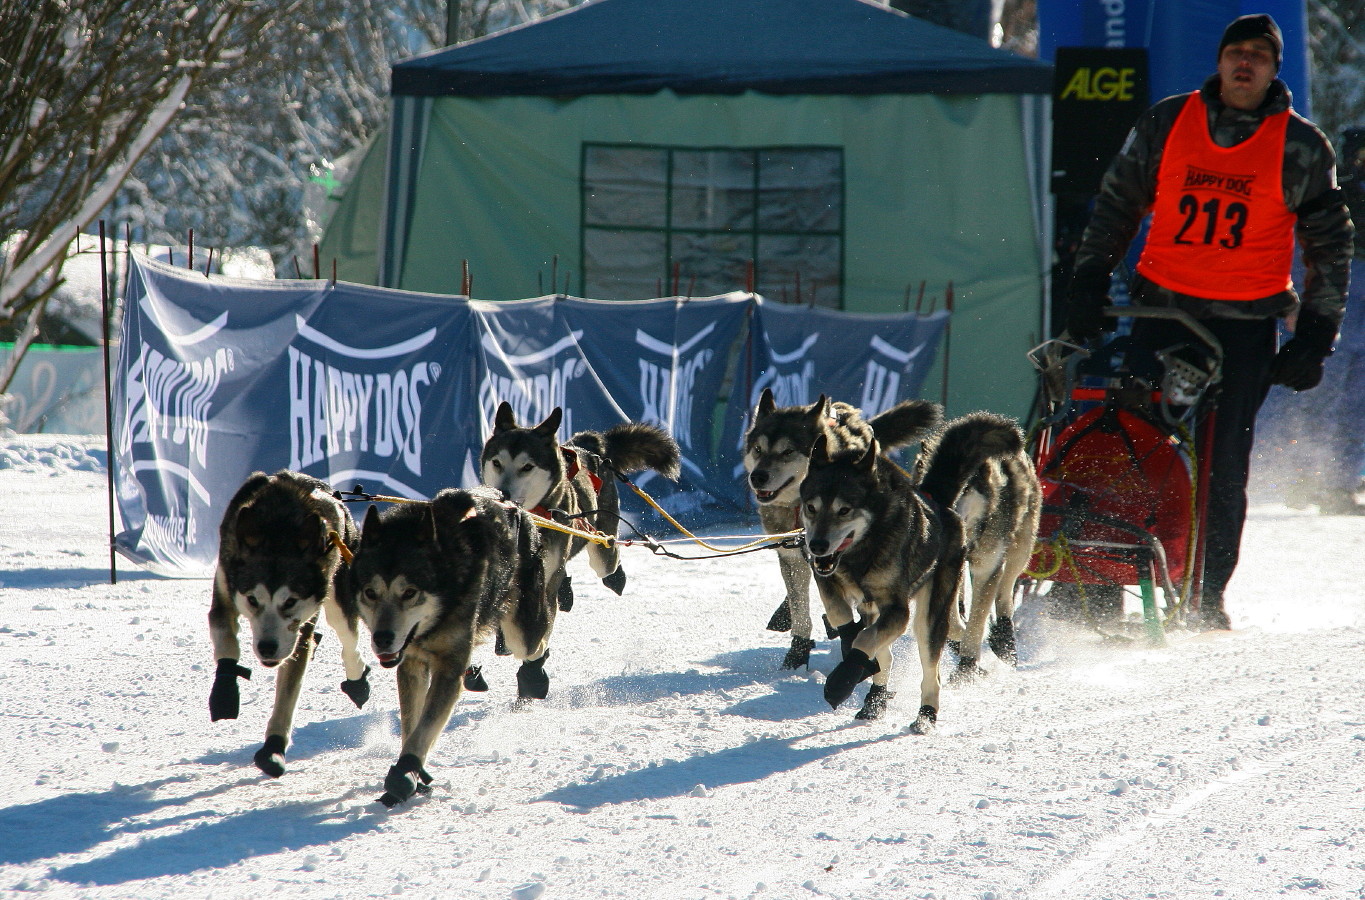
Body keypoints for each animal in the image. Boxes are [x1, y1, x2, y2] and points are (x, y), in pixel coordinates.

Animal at [207, 472, 371, 781]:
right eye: (252, 599)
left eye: (291, 601)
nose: (267, 648)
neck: (278, 528)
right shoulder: (225, 591)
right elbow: (225, 638)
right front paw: (225, 692)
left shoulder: (300, 632)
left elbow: (287, 694)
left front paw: (274, 747)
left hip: (337, 595)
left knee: (348, 640)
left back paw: (357, 681)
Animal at [349, 488, 551, 808]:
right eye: (371, 592)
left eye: (410, 592)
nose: (382, 638)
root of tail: (511, 501)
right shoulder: (412, 665)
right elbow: (412, 723)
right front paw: (417, 773)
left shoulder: (448, 668)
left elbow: (426, 726)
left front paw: (405, 772)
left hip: (521, 631)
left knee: (536, 642)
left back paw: (534, 675)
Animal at [483, 404, 679, 609]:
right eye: (496, 462)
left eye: (528, 467)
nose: (500, 493)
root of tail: (588, 447)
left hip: (601, 551)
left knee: (608, 557)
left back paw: (615, 575)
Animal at [742, 390, 944, 671]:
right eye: (758, 450)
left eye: (788, 451)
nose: (758, 477)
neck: (798, 507)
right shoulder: (792, 556)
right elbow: (800, 606)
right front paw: (797, 652)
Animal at [797, 415, 1026, 732]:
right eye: (811, 507)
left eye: (844, 510)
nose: (817, 545)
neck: (863, 550)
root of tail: (940, 503)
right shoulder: (828, 580)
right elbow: (842, 617)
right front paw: (852, 652)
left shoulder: (898, 609)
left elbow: (864, 639)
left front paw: (842, 679)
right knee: (886, 651)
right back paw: (875, 700)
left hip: (930, 617)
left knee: (932, 670)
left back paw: (926, 714)